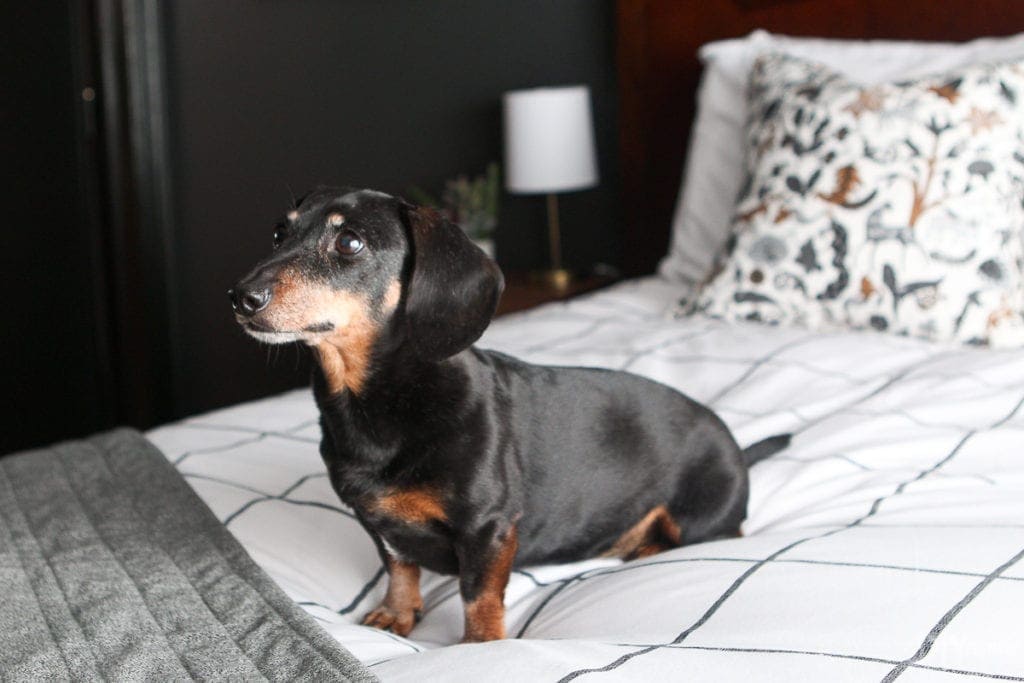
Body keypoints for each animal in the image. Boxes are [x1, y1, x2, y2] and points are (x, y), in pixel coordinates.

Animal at [232, 187, 786, 643]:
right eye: (280, 231)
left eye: (349, 242)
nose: (240, 297)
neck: (379, 402)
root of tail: (737, 447)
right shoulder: (378, 525)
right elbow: (400, 570)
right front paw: (397, 614)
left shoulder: (489, 527)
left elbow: (478, 595)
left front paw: (479, 645)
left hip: (700, 521)